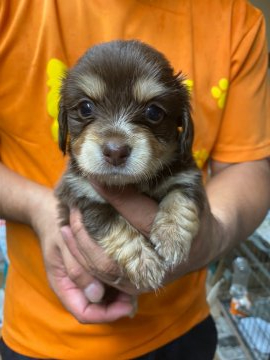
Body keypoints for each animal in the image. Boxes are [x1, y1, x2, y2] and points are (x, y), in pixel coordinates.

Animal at [56, 40, 206, 290]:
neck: (132, 184)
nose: (115, 151)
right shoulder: (83, 195)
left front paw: (172, 236)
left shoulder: (187, 177)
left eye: (154, 112)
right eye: (85, 108)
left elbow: (180, 199)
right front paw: (145, 262)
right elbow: (116, 225)